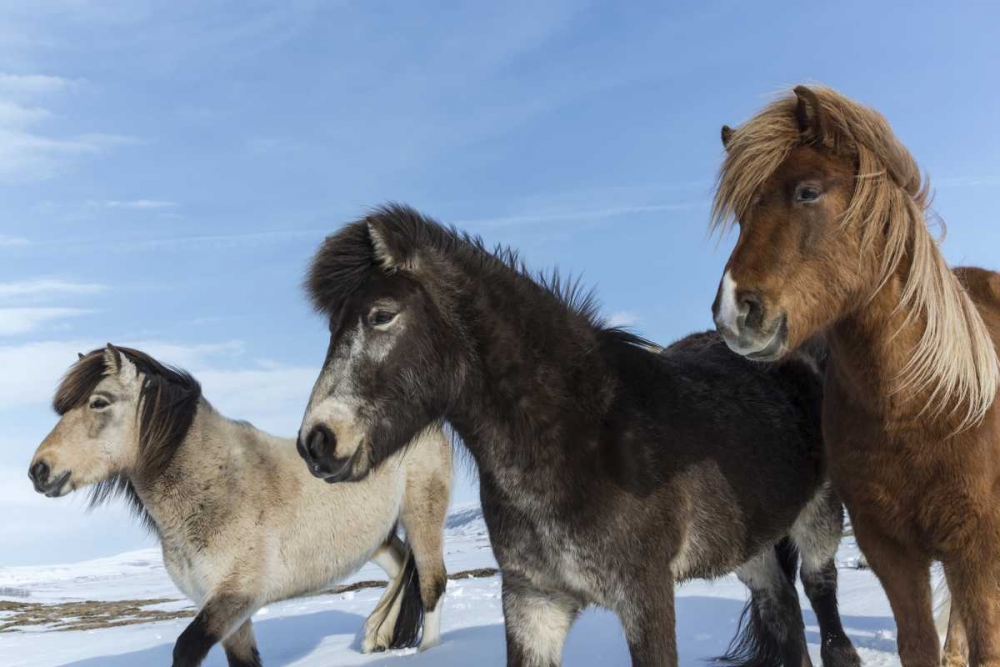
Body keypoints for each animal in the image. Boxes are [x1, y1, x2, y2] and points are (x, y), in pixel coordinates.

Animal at [27, 345, 452, 667]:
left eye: (99, 402)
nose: (38, 470)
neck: (219, 484)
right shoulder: (226, 607)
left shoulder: (236, 597)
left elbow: (186, 648)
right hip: (376, 538)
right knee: (401, 568)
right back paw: (378, 635)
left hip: (422, 514)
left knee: (431, 582)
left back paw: (427, 652)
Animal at [293, 204, 861, 667]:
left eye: (381, 316)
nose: (316, 443)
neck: (581, 437)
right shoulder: (533, 601)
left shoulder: (647, 595)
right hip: (752, 550)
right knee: (783, 615)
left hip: (819, 520)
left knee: (826, 612)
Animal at [710, 85, 1000, 667]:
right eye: (740, 215)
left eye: (808, 192)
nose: (733, 314)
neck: (925, 404)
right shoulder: (888, 547)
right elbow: (919, 645)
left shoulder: (976, 545)